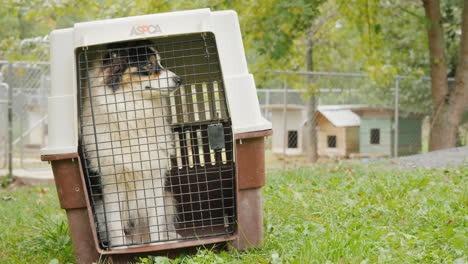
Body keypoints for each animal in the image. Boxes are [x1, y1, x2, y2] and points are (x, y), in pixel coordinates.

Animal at [80, 39, 181, 248]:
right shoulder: (110, 184)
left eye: (160, 62)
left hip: (168, 198)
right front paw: (120, 249)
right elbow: (116, 225)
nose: (179, 80)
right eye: (149, 64)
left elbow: (155, 221)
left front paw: (159, 246)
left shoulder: (154, 177)